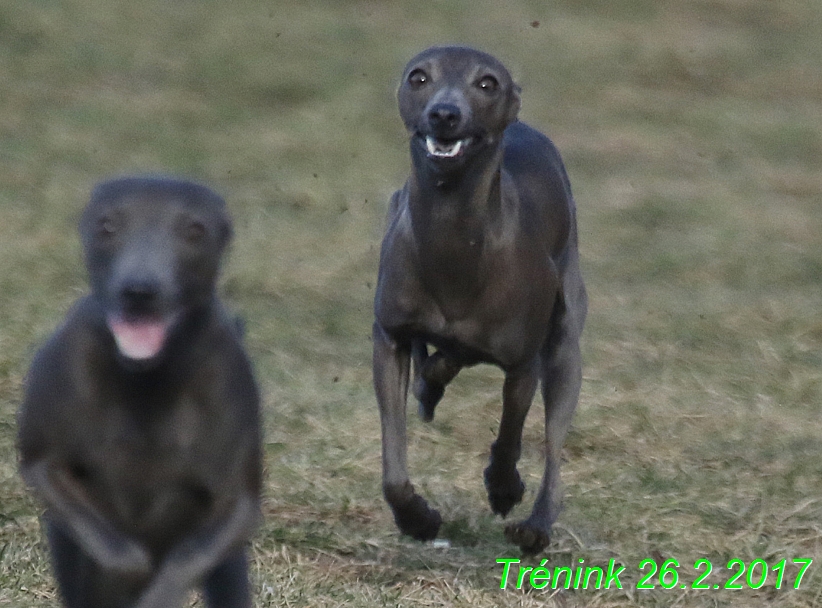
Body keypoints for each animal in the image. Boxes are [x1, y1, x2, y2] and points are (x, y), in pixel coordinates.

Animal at [17, 177, 262, 608]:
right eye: (107, 226)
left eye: (194, 230)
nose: (139, 289)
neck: (146, 379)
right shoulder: (46, 463)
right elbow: (118, 554)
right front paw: (125, 578)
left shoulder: (236, 503)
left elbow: (186, 558)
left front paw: (155, 593)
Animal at [374, 45, 584, 552]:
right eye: (419, 77)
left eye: (487, 83)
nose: (444, 114)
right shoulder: (388, 337)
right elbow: (393, 465)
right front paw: (417, 519)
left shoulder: (524, 362)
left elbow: (510, 435)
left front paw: (503, 487)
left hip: (566, 342)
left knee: (553, 442)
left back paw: (536, 526)